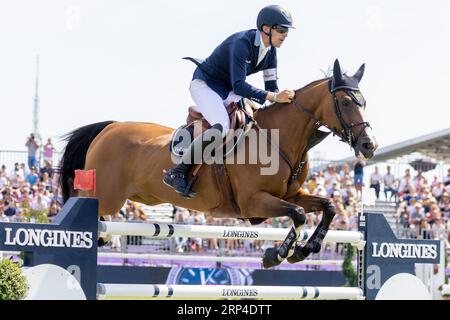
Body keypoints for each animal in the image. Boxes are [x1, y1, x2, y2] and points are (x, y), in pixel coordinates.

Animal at [59, 59, 376, 268]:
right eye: (346, 102)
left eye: (364, 103)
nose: (369, 145)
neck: (279, 138)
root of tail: (109, 128)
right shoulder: (253, 202)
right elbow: (298, 215)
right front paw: (277, 254)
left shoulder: (290, 194)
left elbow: (328, 207)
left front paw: (305, 248)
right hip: (106, 197)